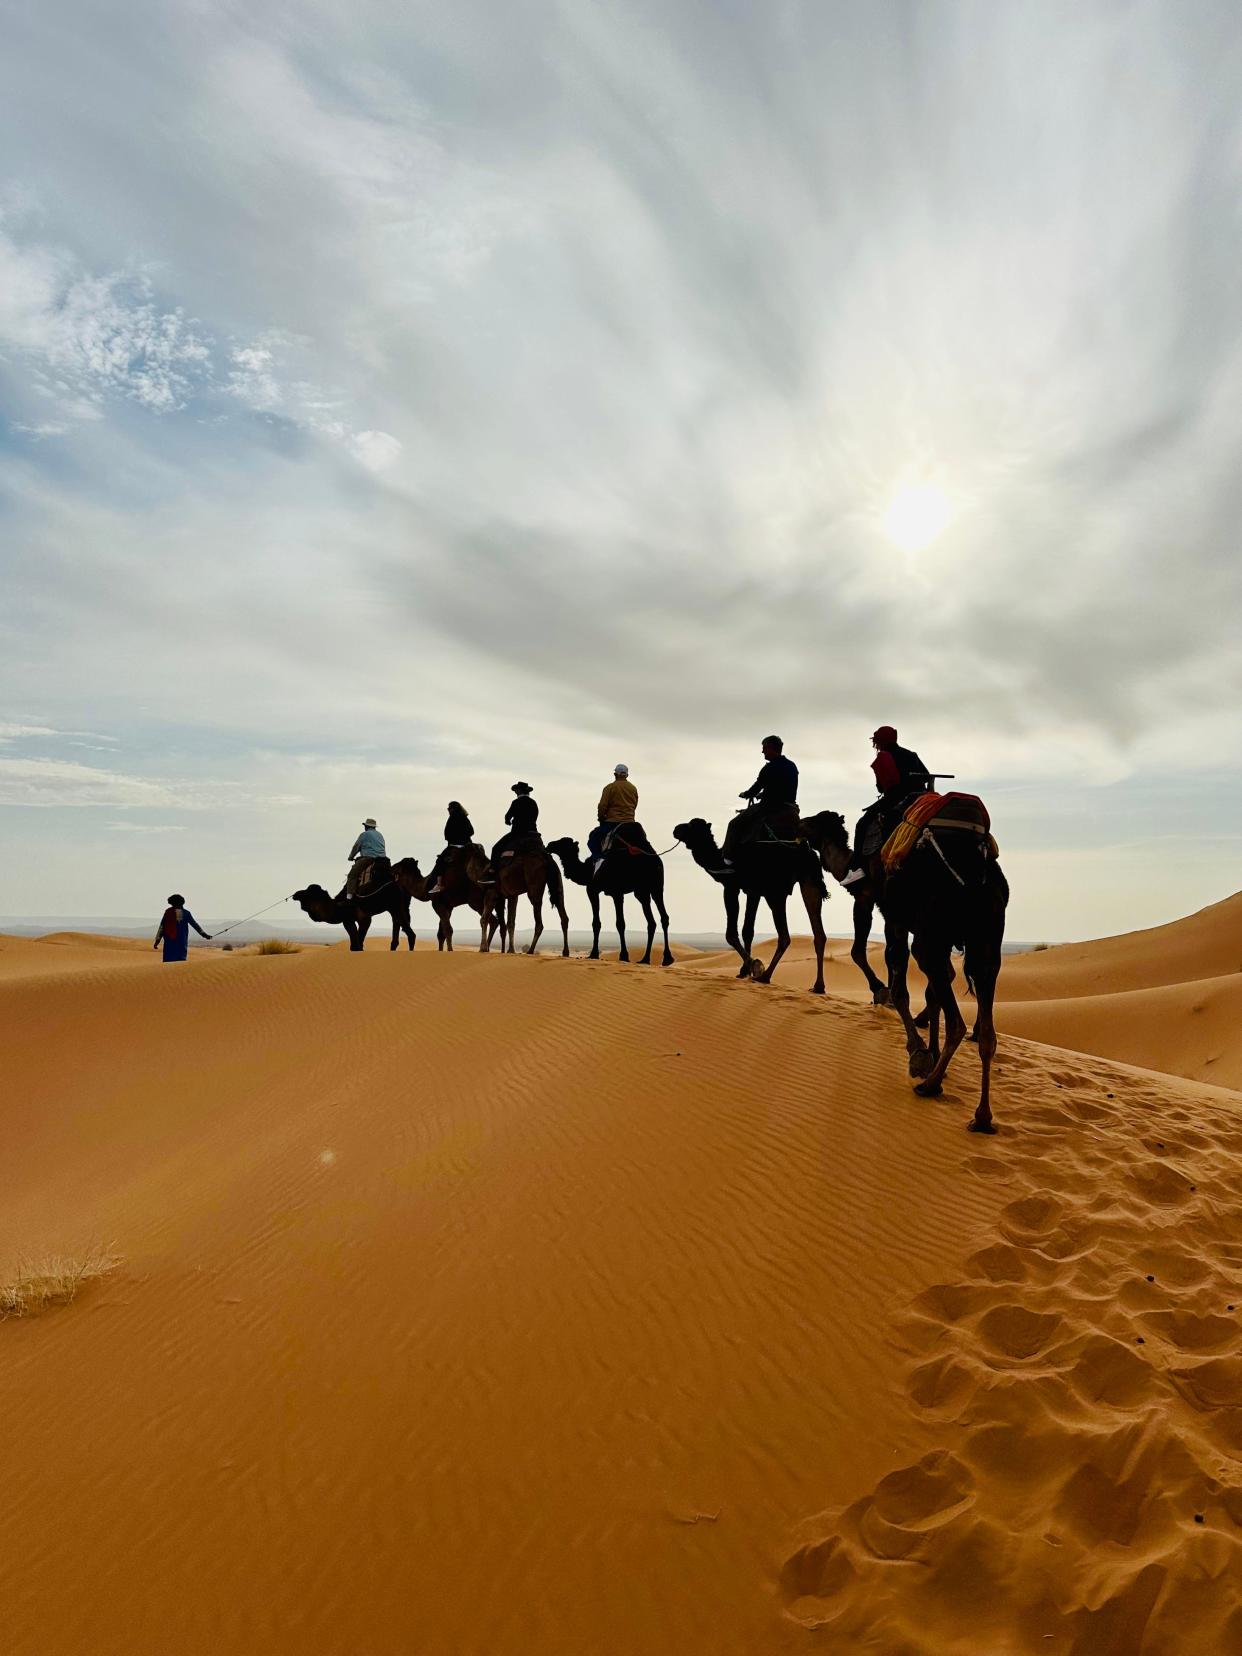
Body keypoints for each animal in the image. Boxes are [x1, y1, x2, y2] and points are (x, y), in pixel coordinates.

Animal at [549, 828, 675, 967]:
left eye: (563, 842)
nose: (549, 845)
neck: (588, 871)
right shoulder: (615, 893)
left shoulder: (600, 891)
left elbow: (609, 923)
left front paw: (601, 954)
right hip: (649, 889)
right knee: (658, 919)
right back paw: (655, 959)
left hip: (646, 888)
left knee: (655, 919)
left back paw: (654, 958)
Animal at [672, 811, 828, 980]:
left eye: (690, 826)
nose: (675, 829)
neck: (724, 863)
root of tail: (809, 852)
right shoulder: (752, 891)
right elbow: (748, 931)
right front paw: (744, 970)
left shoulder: (733, 887)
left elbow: (732, 933)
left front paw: (755, 966)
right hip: (809, 881)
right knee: (818, 933)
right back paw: (818, 984)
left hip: (775, 893)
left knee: (785, 936)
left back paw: (765, 976)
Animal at [818, 808, 1013, 1132]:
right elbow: (932, 992)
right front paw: (930, 1054)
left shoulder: (887, 914)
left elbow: (897, 986)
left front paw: (919, 1053)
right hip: (987, 944)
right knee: (986, 1030)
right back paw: (982, 1117)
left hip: (931, 935)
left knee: (956, 1022)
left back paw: (930, 1086)